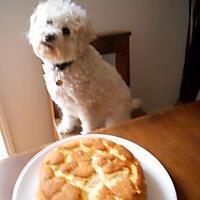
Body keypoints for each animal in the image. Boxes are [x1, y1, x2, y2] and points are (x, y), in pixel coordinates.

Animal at [27, 0, 141, 138]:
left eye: (66, 31)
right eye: (49, 22)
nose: (49, 36)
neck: (66, 65)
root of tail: (130, 105)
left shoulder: (85, 104)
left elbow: (87, 122)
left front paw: (87, 133)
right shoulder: (65, 102)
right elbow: (68, 117)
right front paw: (66, 127)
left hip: (113, 117)